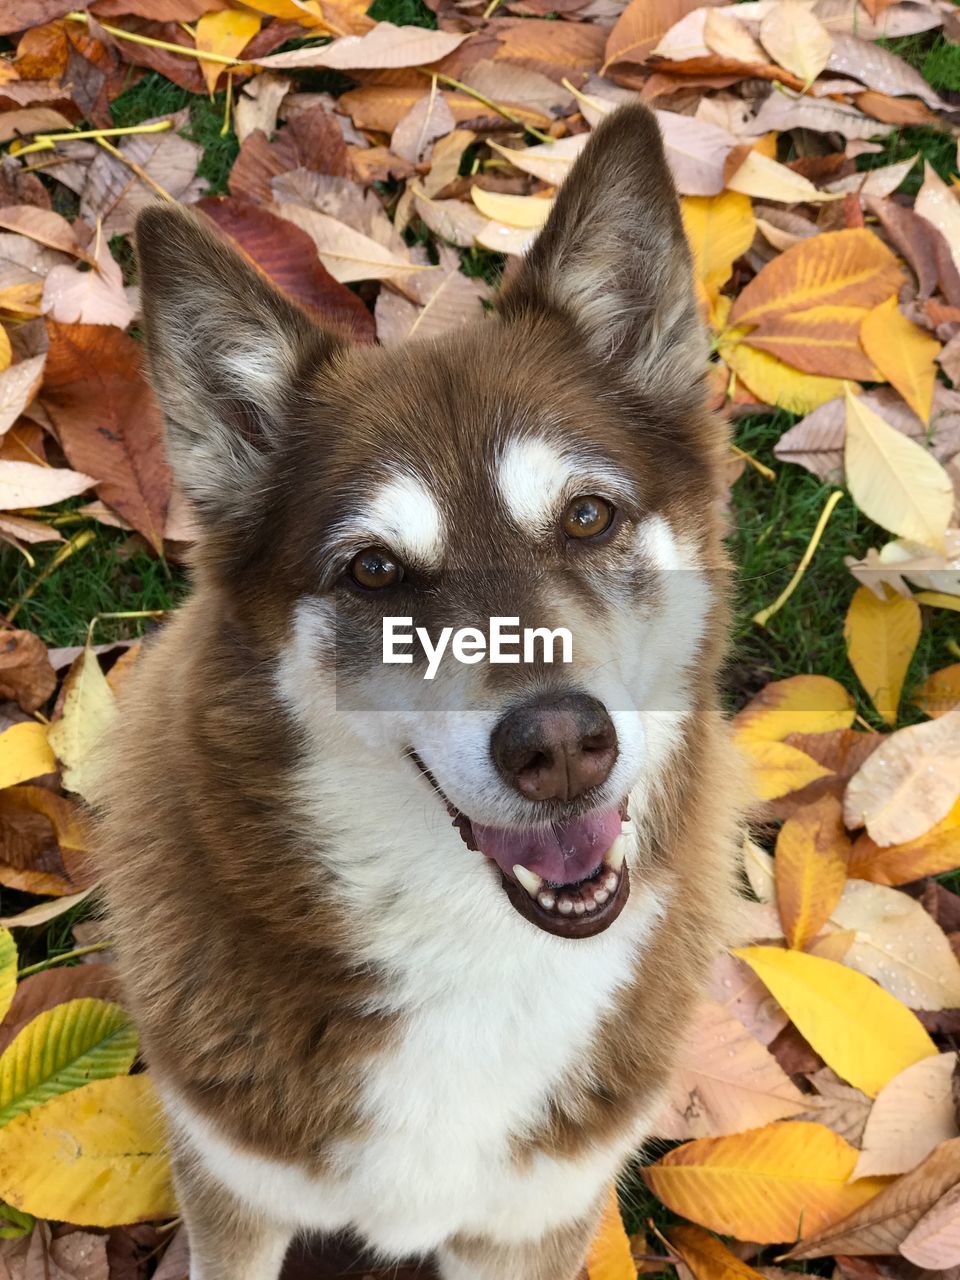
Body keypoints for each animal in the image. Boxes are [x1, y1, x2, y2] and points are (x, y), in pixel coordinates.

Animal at [96, 107, 742, 1280]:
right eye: (374, 571)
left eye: (587, 516)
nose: (560, 744)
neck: (474, 951)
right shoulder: (231, 1191)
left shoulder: (534, 1222)